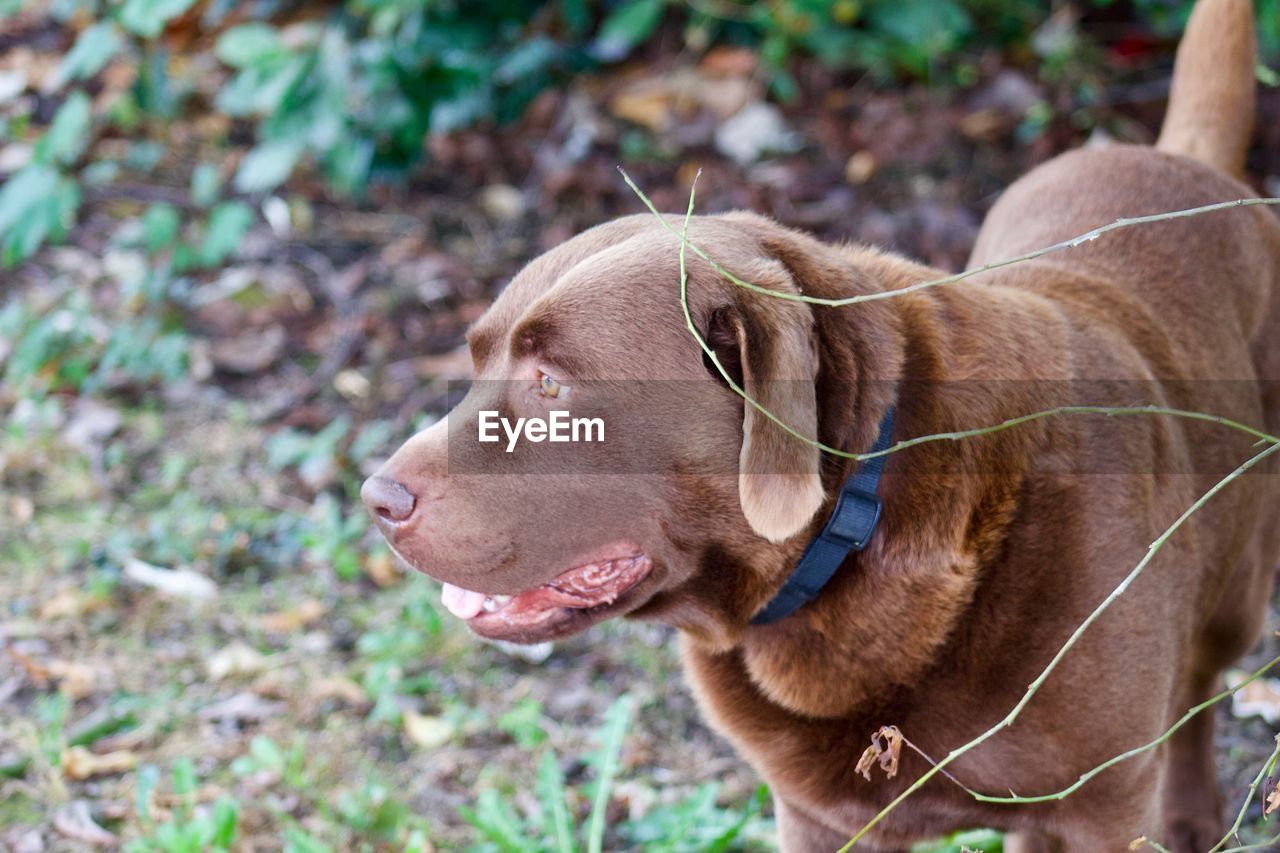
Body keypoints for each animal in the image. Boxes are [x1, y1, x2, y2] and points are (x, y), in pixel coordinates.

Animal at [360, 1, 1280, 845]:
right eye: (474, 357)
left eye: (551, 381)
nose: (375, 496)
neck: (857, 525)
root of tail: (1180, 156)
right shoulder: (815, 812)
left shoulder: (1099, 803)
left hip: (1235, 590)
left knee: (1200, 689)